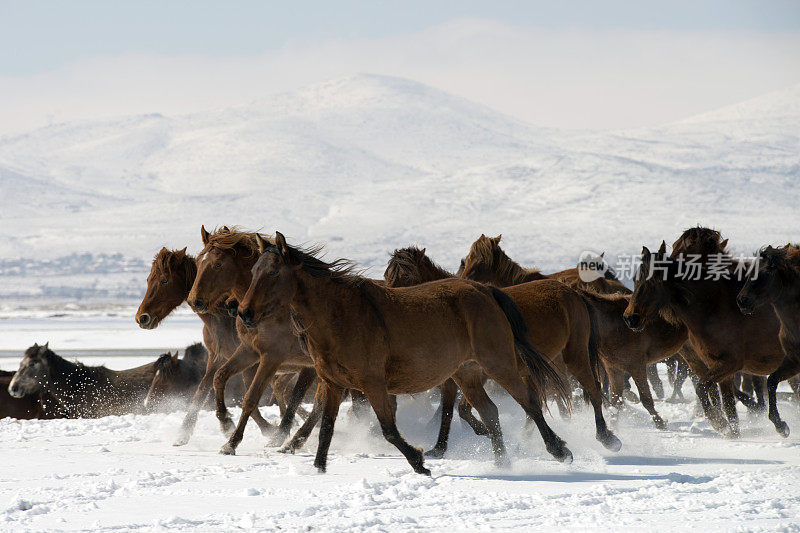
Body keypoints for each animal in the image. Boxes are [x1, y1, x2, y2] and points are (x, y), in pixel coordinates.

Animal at [134, 245, 276, 444]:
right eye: (148, 280)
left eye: (164, 280)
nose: (142, 318)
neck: (222, 318)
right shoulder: (218, 356)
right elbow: (203, 389)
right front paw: (185, 432)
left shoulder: (250, 360)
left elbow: (250, 394)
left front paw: (270, 430)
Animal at [238, 233, 576, 474]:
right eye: (253, 270)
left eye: (272, 272)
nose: (244, 313)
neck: (341, 315)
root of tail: (485, 290)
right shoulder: (333, 384)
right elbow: (326, 430)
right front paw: (317, 470)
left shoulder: (373, 384)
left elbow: (388, 429)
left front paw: (419, 461)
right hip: (466, 373)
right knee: (490, 412)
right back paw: (502, 464)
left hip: (498, 363)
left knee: (529, 402)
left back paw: (560, 451)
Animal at [620, 237, 784, 436]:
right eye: (635, 280)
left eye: (654, 282)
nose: (630, 318)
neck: (712, 309)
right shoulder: (719, 367)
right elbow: (728, 406)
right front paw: (730, 431)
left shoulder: (730, 363)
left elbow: (701, 389)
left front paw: (717, 422)